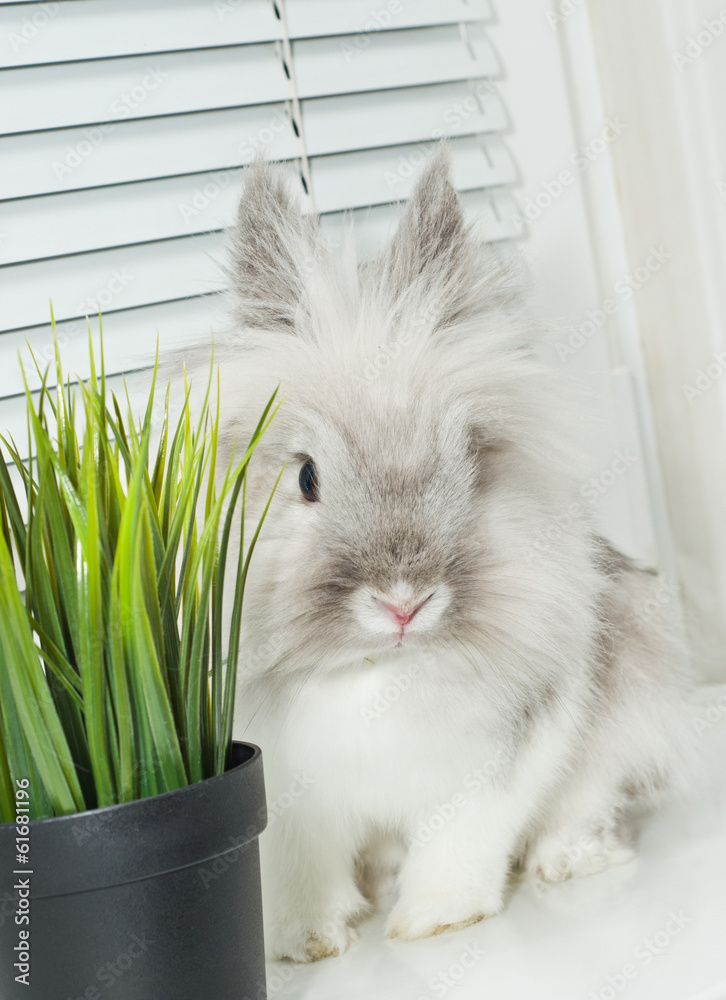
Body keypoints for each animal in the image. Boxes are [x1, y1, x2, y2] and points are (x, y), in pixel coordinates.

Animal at [202, 149, 696, 963]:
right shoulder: (293, 803)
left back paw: (566, 860)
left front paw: (434, 923)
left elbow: (460, 845)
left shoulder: (495, 766)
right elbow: (306, 873)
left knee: (590, 800)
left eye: (470, 462)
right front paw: (309, 943)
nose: (405, 600)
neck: (380, 670)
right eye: (306, 477)